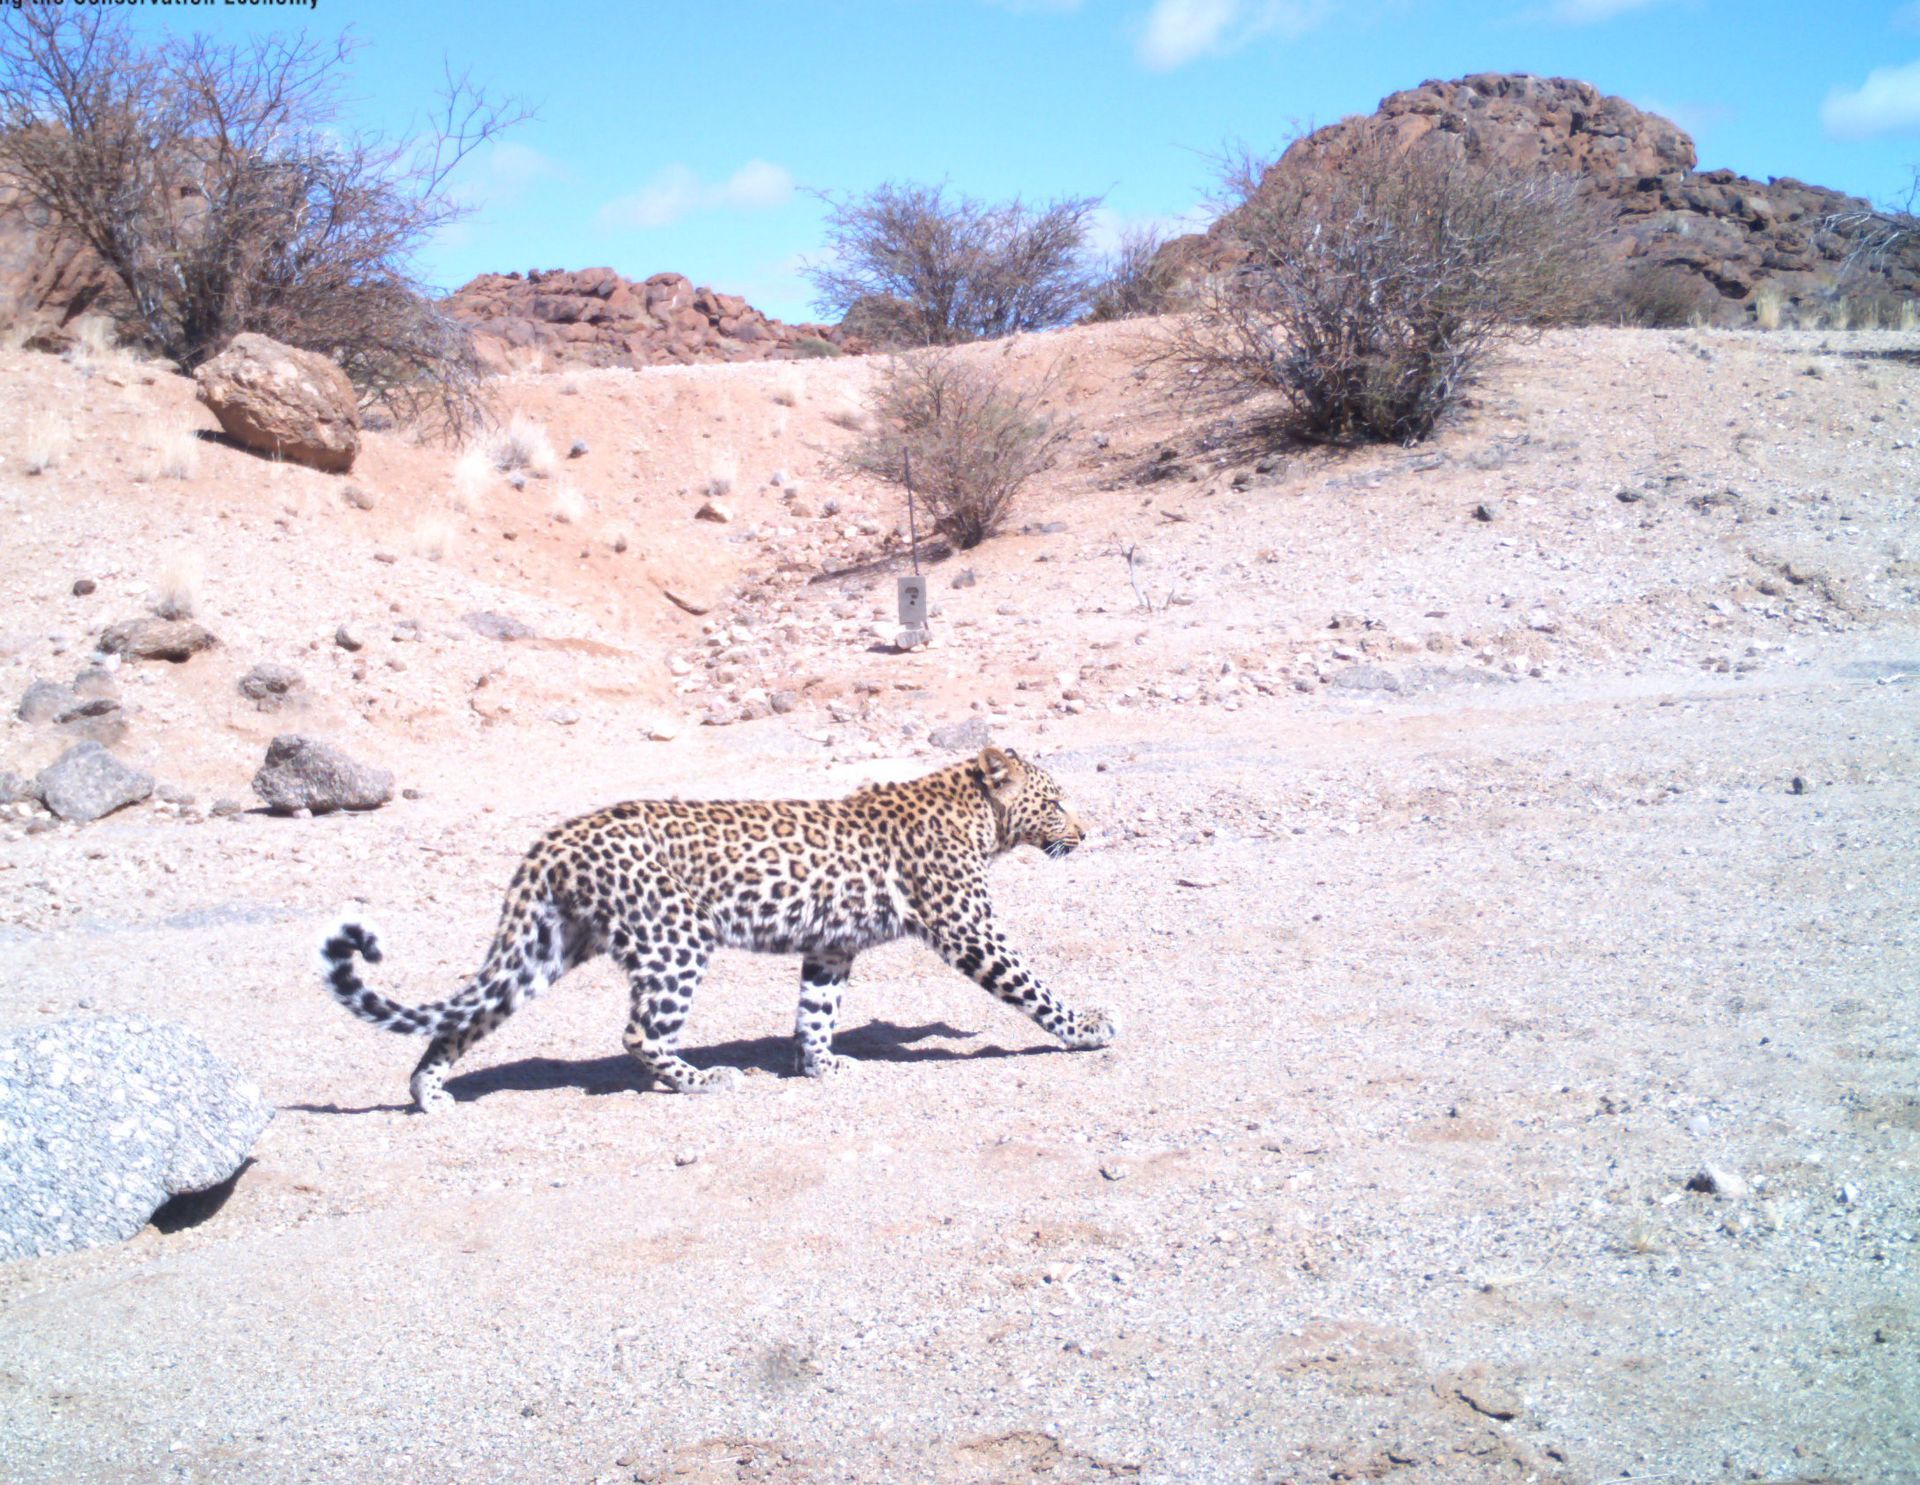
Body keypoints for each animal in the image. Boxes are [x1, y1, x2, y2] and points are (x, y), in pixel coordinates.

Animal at [318, 745, 1116, 1113]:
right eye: (1055, 803)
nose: (1085, 832)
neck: (976, 816)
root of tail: (554, 841)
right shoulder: (968, 928)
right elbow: (1032, 986)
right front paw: (1088, 1027)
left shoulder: (831, 947)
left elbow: (816, 1012)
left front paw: (820, 1065)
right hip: (675, 940)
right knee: (638, 1034)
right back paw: (701, 1078)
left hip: (547, 947)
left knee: (468, 1014)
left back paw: (429, 1092)